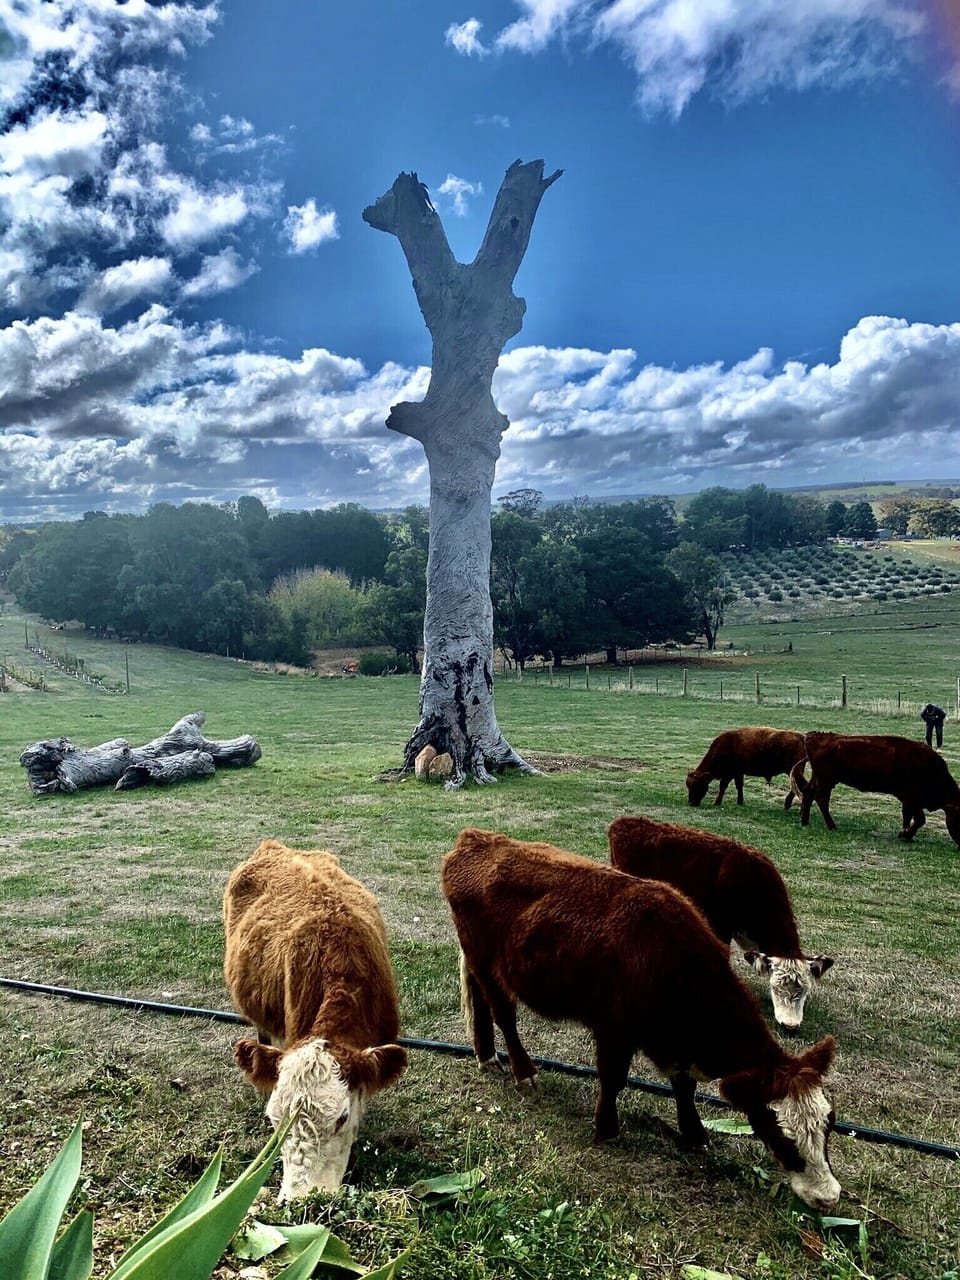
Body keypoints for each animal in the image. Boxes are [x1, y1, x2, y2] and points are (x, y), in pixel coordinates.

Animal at [791, 731, 960, 846]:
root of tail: (814, 736)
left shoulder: (908, 800)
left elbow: (908, 816)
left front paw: (904, 833)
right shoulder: (912, 799)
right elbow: (919, 819)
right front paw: (906, 834)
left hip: (820, 779)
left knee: (808, 793)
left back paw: (805, 821)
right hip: (826, 781)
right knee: (821, 799)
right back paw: (832, 826)